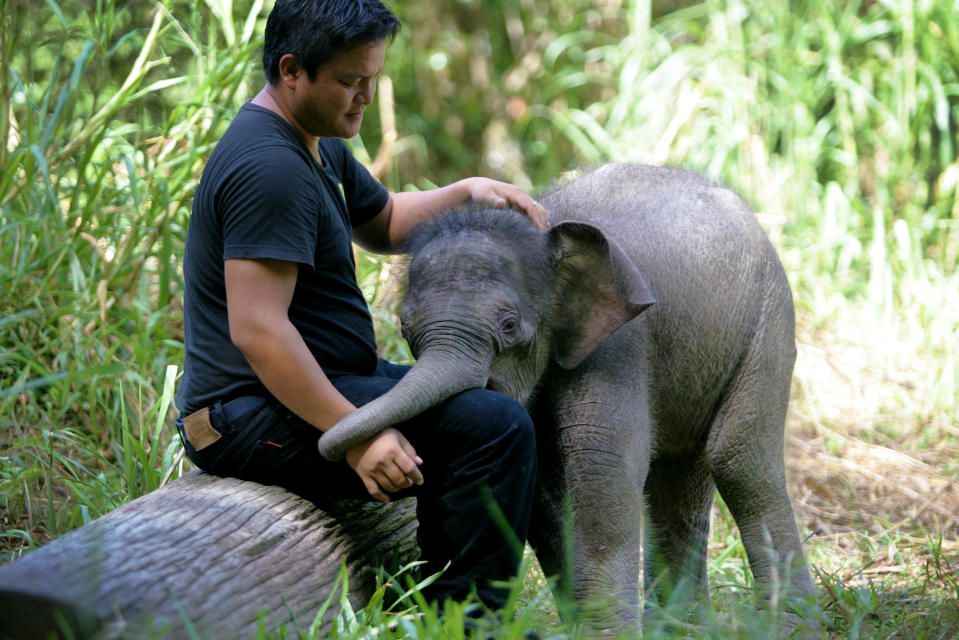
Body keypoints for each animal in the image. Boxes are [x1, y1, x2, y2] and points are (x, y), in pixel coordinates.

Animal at [322, 162, 816, 632]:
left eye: (508, 326)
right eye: (406, 332)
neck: (546, 233)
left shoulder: (619, 343)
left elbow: (602, 466)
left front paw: (607, 633)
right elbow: (542, 484)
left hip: (770, 320)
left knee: (738, 460)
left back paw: (788, 626)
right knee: (679, 472)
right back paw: (683, 629)